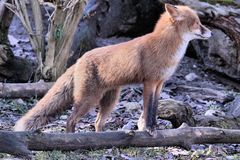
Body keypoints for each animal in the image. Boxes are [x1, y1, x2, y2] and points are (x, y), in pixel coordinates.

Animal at [13, 3, 212, 134]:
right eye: (196, 23)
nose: (210, 33)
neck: (166, 48)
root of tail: (79, 59)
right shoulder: (149, 82)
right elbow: (148, 110)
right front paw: (149, 129)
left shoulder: (160, 84)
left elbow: (154, 109)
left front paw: (153, 127)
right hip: (88, 99)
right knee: (70, 121)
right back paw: (72, 141)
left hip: (110, 101)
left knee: (97, 123)